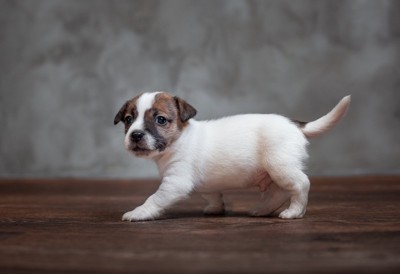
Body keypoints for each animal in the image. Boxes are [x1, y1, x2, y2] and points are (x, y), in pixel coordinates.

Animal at [113, 91, 350, 220]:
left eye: (160, 120)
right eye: (128, 120)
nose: (135, 135)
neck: (179, 139)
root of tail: (295, 125)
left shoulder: (175, 183)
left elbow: (155, 199)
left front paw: (139, 212)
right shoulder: (205, 184)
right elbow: (212, 195)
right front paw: (216, 208)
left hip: (280, 166)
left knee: (301, 184)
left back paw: (294, 212)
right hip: (275, 172)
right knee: (278, 192)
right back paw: (261, 210)